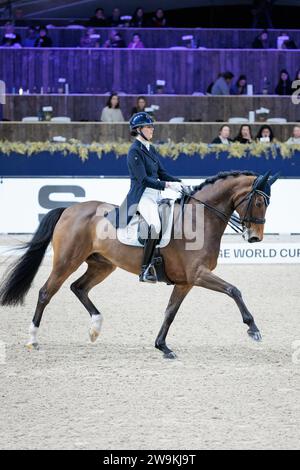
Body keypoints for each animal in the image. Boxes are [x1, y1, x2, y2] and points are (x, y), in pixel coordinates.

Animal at [0, 171, 278, 358]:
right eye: (259, 202)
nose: (255, 238)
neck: (199, 219)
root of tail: (69, 209)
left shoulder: (186, 281)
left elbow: (170, 312)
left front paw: (162, 347)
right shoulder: (198, 274)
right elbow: (234, 290)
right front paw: (253, 329)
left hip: (102, 265)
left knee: (78, 288)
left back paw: (95, 328)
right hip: (66, 261)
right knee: (46, 292)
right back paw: (33, 339)